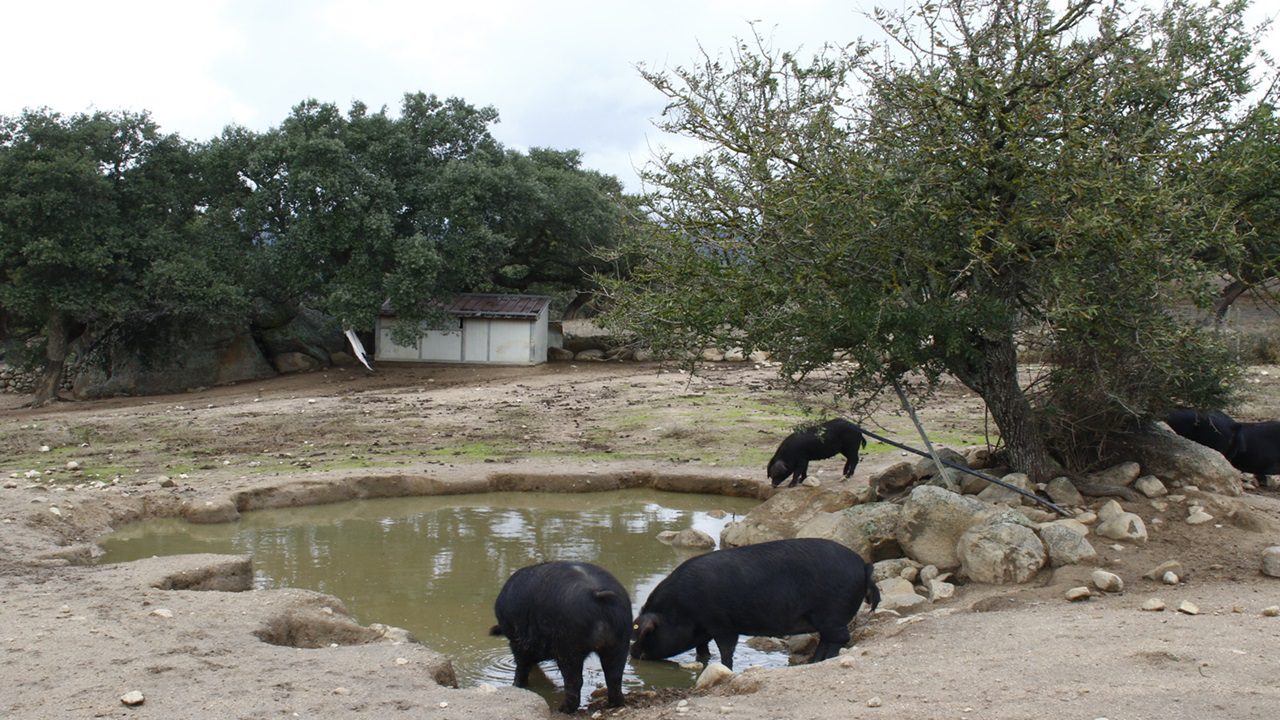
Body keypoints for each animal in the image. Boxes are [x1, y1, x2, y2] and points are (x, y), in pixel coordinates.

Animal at [488, 558, 629, 707]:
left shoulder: (518, 641)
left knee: (575, 681)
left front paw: (517, 685)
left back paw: (563, 708)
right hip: (621, 642)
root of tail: (596, 594)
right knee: (614, 677)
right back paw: (614, 704)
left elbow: (522, 665)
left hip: (569, 647)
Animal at [629, 532, 880, 666]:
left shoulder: (722, 623)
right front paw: (704, 660)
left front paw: (724, 667)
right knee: (826, 639)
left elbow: (726, 650)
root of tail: (863, 565)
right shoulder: (706, 629)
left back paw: (820, 661)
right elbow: (703, 649)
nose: (633, 654)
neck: (680, 610)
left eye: (649, 633)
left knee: (839, 638)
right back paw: (812, 662)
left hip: (832, 614)